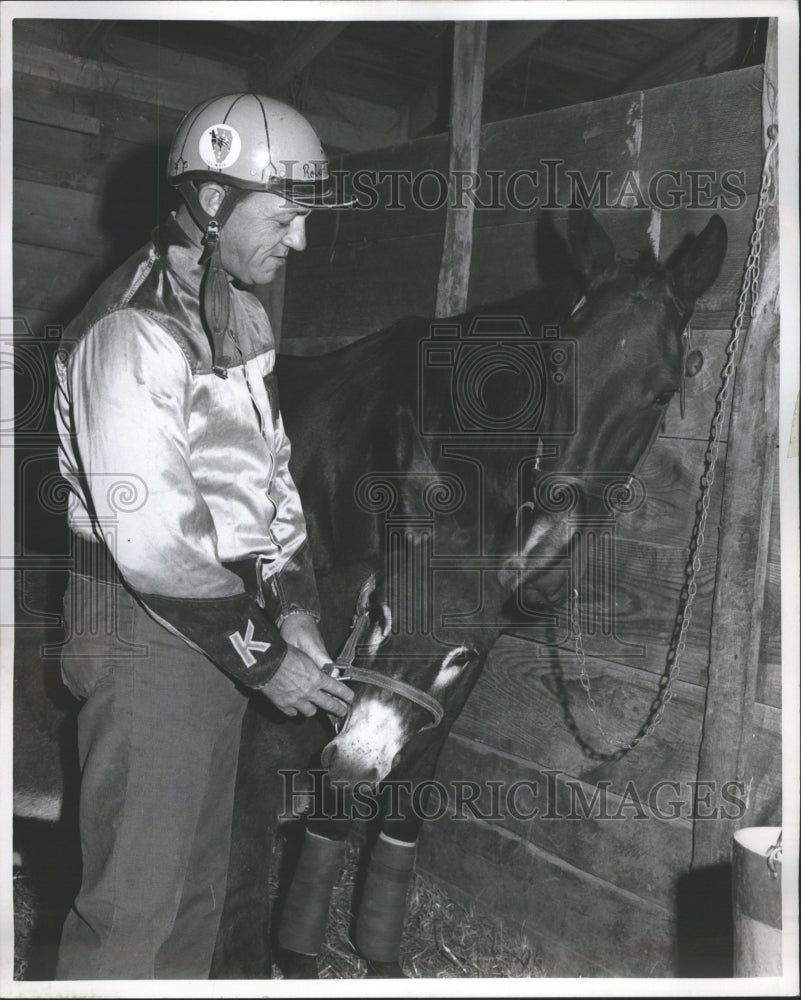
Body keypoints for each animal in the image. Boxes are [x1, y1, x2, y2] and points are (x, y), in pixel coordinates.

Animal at [211, 211, 724, 976]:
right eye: (558, 361)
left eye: (661, 392)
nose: (546, 550)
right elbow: (336, 794)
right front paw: (298, 953)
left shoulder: (458, 654)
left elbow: (409, 788)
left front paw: (380, 956)